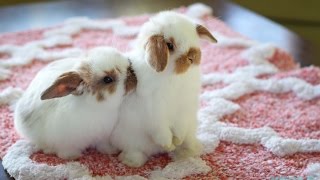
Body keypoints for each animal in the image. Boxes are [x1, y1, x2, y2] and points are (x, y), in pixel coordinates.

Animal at [110, 11, 218, 167]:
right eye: (170, 45)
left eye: (194, 38)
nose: (192, 57)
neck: (174, 76)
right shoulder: (155, 113)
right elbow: (162, 131)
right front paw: (169, 145)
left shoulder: (184, 109)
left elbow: (180, 128)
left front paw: (177, 141)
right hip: (128, 138)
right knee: (135, 150)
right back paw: (131, 161)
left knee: (187, 141)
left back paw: (187, 153)